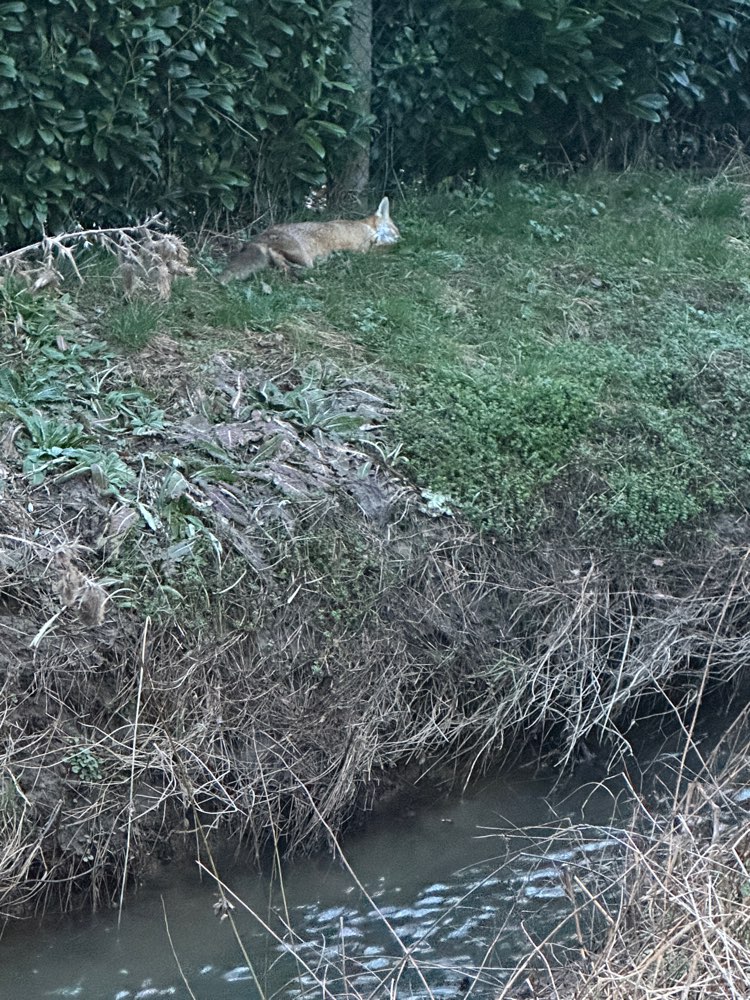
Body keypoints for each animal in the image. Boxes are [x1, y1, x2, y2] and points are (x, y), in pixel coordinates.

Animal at [219, 197, 399, 283]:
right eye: (395, 230)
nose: (400, 239)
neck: (366, 228)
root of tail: (258, 239)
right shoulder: (362, 248)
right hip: (305, 259)